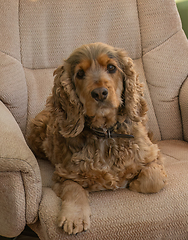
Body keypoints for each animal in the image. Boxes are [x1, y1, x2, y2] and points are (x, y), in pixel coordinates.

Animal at [28, 42, 167, 234]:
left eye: (111, 67)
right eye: (80, 73)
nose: (100, 93)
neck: (106, 132)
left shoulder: (153, 154)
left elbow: (153, 178)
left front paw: (135, 183)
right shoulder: (63, 174)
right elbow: (74, 189)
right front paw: (74, 216)